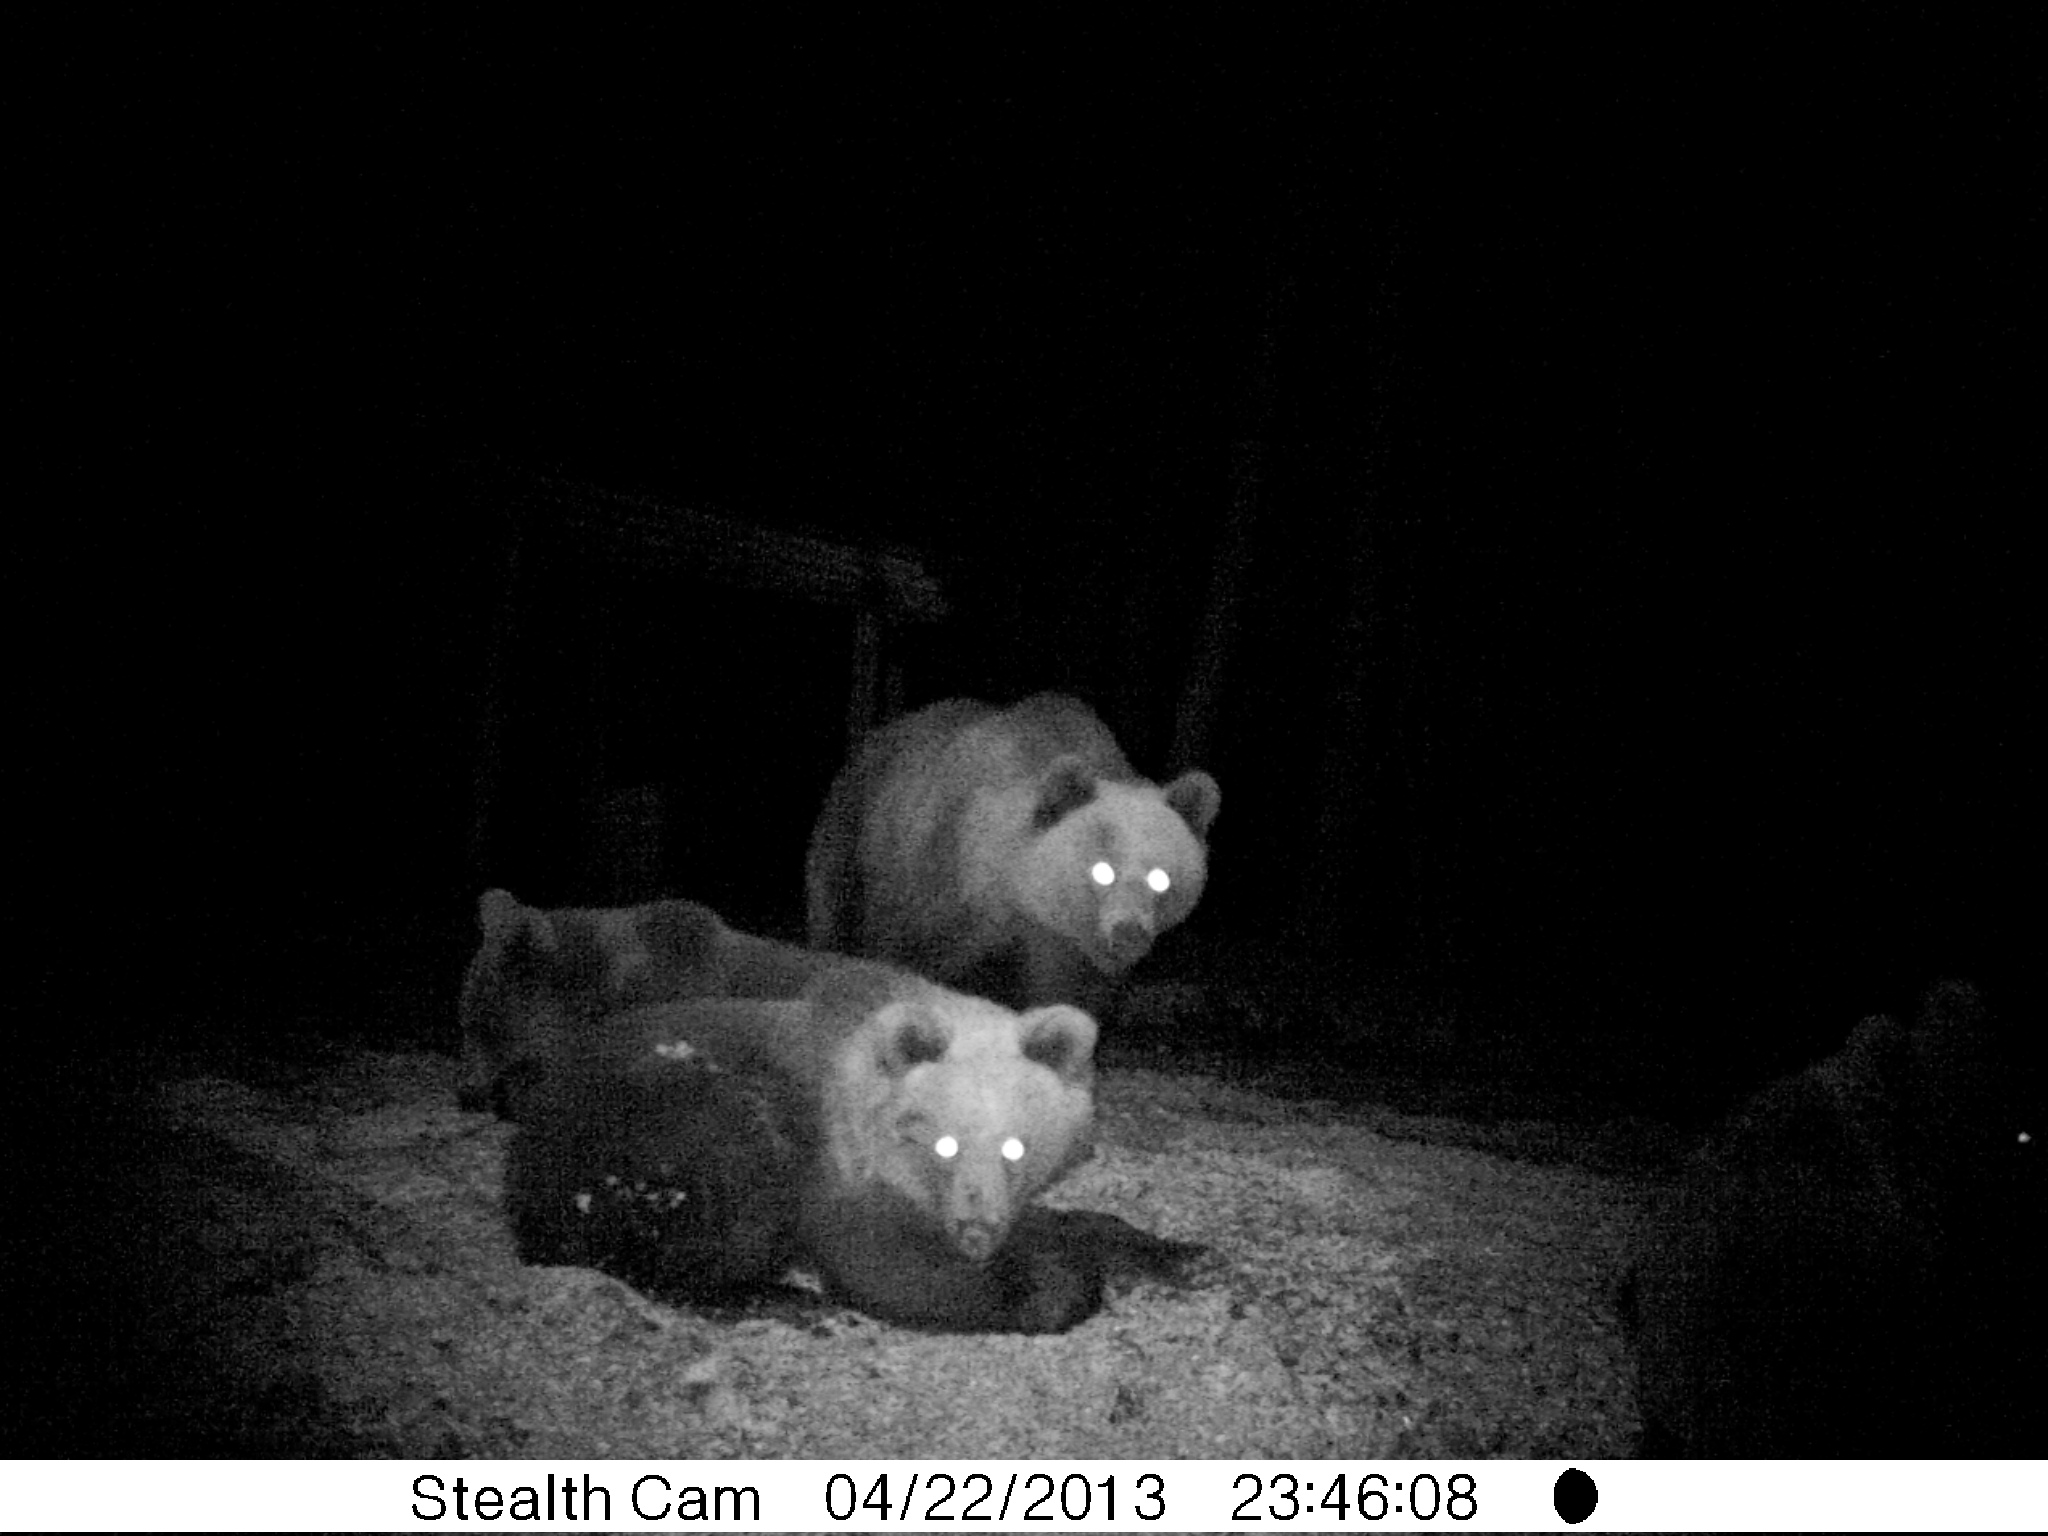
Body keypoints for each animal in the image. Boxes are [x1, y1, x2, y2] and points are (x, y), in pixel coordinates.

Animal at [504, 962, 1199, 1332]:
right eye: (943, 1142)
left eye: (1016, 1147)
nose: (975, 1228)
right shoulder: (835, 1171)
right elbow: (884, 1267)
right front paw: (1052, 1285)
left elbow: (1067, 1222)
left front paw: (1174, 1252)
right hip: (658, 1126)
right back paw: (777, 1298)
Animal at [805, 693, 1220, 1015]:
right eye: (1102, 870)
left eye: (1160, 877)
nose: (1128, 932)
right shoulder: (938, 883)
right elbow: (906, 956)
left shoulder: (1066, 954)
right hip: (850, 825)